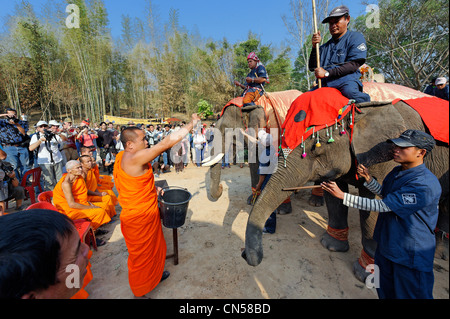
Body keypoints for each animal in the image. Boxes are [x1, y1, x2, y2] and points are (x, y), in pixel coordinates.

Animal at [243, 97, 450, 282]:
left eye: (315, 148)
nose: (245, 255)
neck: (359, 112)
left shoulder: (385, 157)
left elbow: (376, 205)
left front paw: (366, 275)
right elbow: (334, 196)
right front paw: (331, 246)